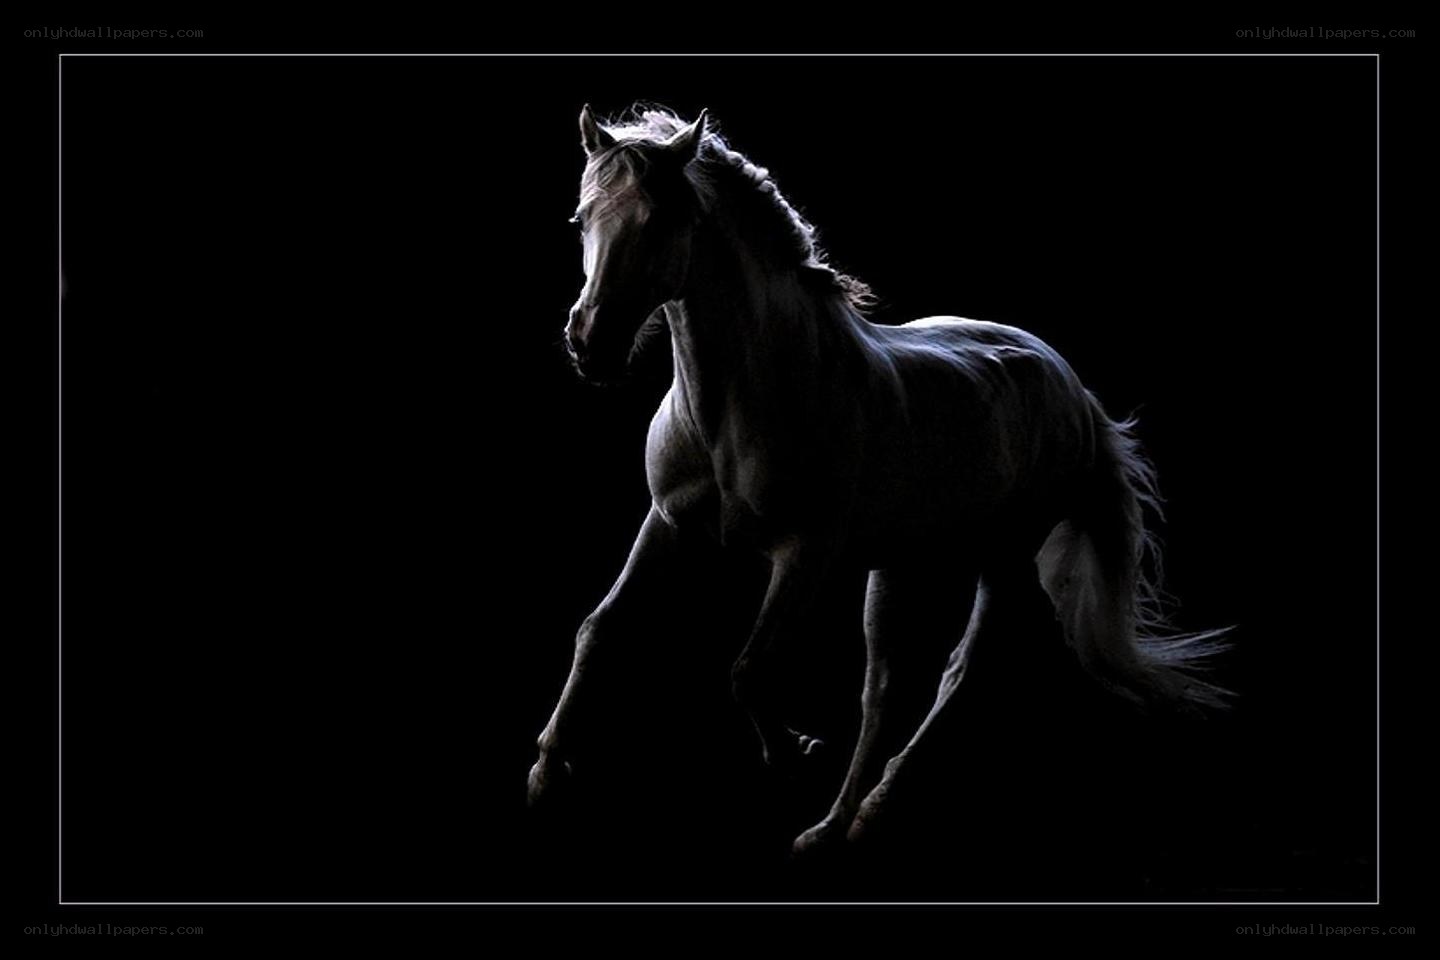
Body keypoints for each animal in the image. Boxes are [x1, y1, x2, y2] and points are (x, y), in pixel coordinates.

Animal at [527, 104, 1232, 856]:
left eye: (662, 220)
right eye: (581, 218)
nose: (590, 344)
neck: (750, 396)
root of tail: (1071, 387)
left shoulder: (805, 554)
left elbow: (748, 670)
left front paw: (793, 751)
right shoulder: (667, 522)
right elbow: (600, 629)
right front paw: (547, 770)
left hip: (1004, 556)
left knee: (958, 672)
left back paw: (871, 809)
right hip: (897, 564)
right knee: (884, 687)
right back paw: (838, 823)